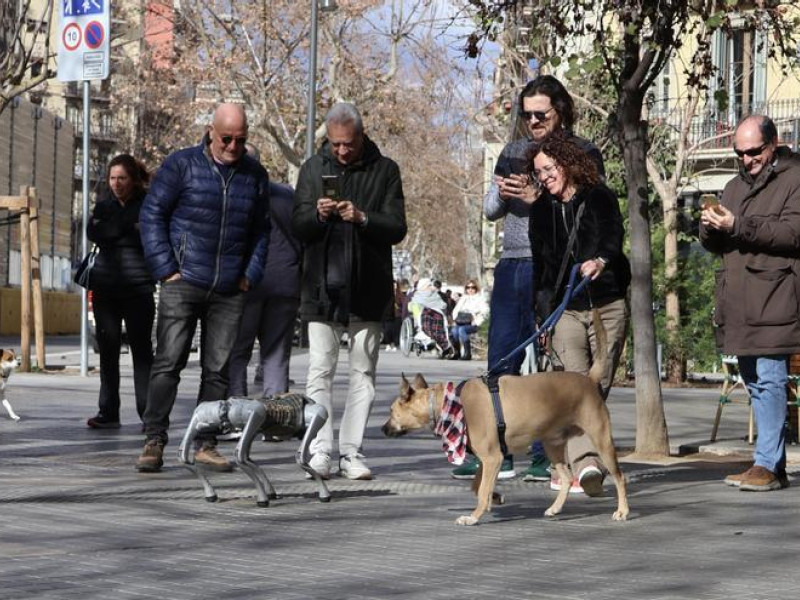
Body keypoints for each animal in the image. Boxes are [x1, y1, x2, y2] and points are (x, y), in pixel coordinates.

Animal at [382, 312, 632, 528]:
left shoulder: (492, 457)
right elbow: (477, 486)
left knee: (619, 477)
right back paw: (555, 508)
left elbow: (481, 490)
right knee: (567, 477)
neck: (448, 402)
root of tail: (588, 380)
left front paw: (474, 515)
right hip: (553, 444)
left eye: (391, 411)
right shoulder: (488, 459)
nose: (383, 429)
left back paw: (622, 511)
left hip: (601, 440)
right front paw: (495, 497)